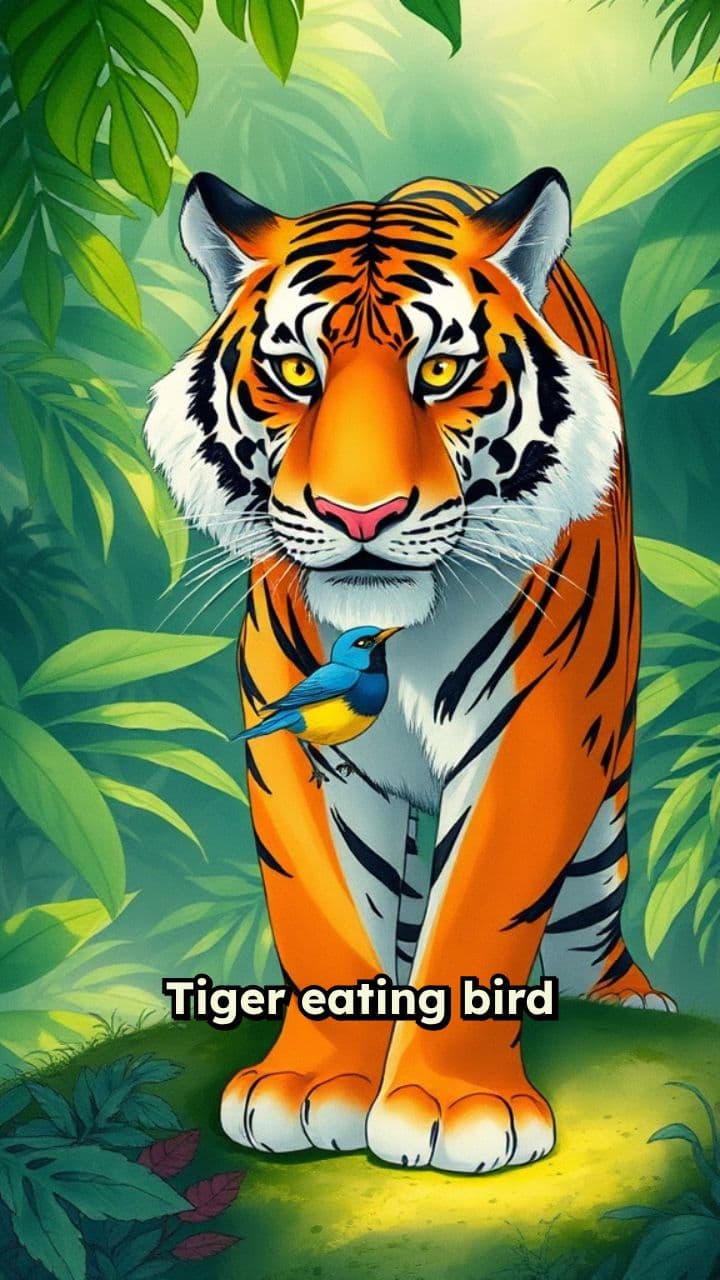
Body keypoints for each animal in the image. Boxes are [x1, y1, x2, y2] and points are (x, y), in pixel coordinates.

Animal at [144, 167, 676, 1175]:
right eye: (297, 372)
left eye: (439, 372)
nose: (361, 516)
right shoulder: (293, 738)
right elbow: (323, 915)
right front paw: (309, 1085)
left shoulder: (535, 738)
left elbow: (478, 912)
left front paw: (451, 1105)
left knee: (588, 907)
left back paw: (627, 998)